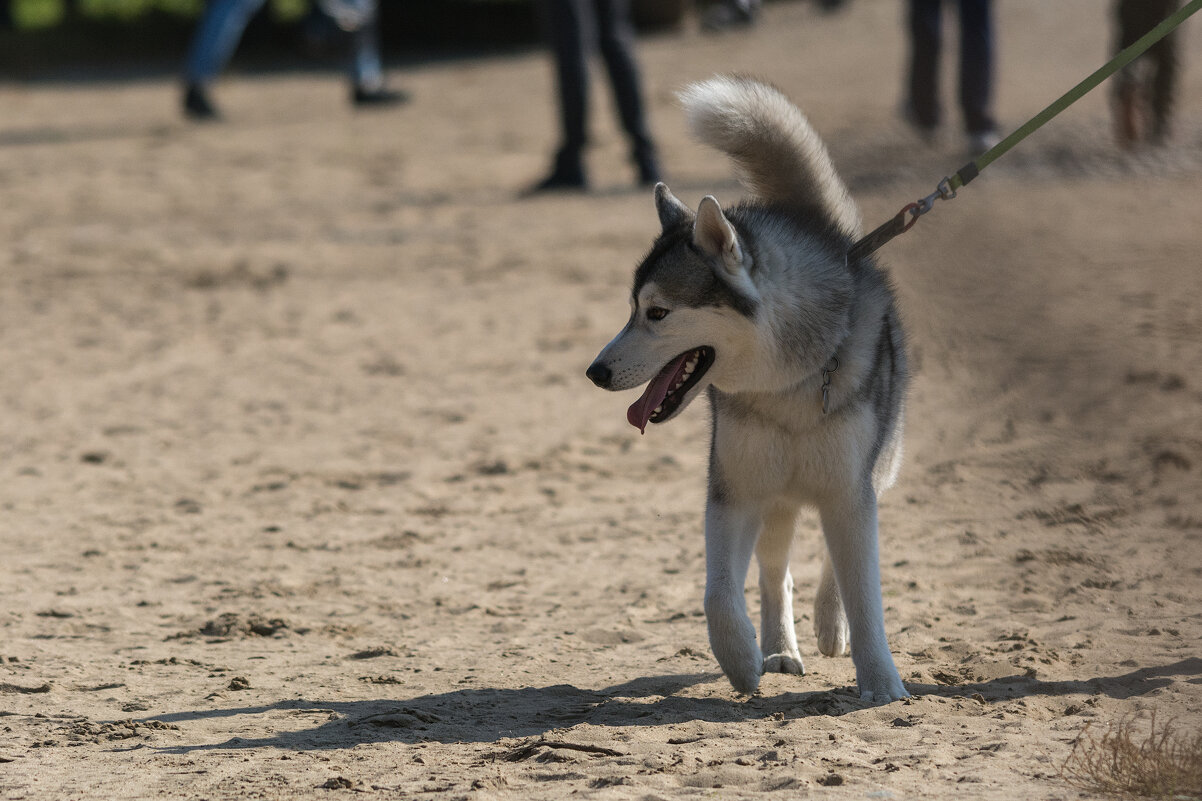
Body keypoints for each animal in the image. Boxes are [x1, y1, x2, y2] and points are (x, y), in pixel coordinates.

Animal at [584, 73, 908, 697]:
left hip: (875, 471)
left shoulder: (849, 491)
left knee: (834, 562)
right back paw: (779, 648)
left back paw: (828, 626)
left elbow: (863, 593)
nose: (596, 372)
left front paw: (881, 683)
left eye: (657, 313)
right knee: (775, 570)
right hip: (773, 496)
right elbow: (718, 593)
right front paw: (739, 657)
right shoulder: (733, 492)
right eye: (631, 309)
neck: (785, 387)